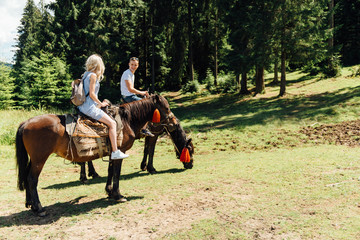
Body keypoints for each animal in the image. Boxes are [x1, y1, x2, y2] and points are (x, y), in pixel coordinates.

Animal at [15, 94, 176, 217]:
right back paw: (39, 208)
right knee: (32, 179)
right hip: (39, 159)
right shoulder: (121, 151)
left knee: (26, 177)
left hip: (33, 159)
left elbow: (110, 171)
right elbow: (116, 173)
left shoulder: (112, 153)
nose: (174, 122)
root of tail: (26, 123)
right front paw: (118, 195)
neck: (127, 120)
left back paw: (30, 204)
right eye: (167, 108)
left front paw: (109, 192)